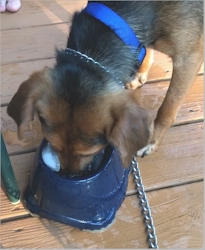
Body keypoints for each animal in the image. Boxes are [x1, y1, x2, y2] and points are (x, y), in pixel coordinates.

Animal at [7, 0, 204, 176]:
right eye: (54, 146)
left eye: (88, 153)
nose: (69, 176)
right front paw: (141, 71)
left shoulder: (190, 57)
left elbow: (167, 109)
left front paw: (151, 141)